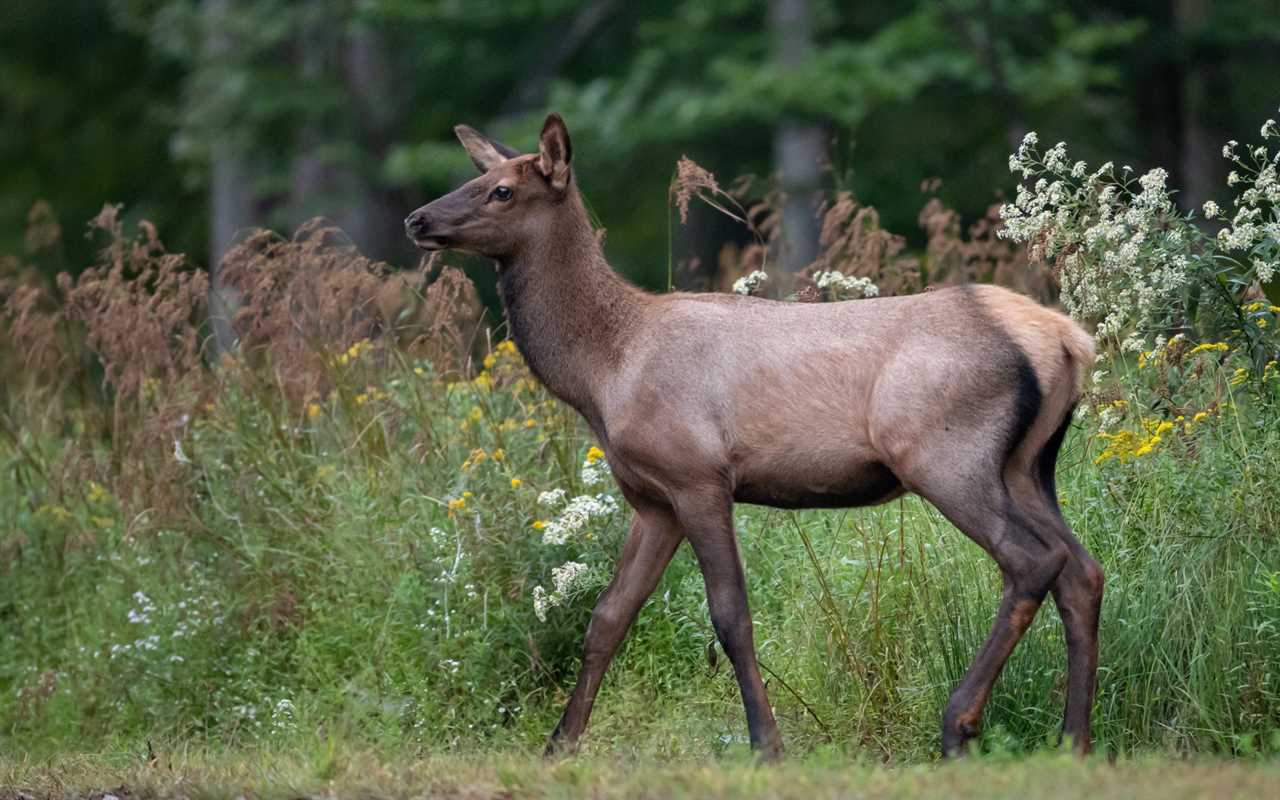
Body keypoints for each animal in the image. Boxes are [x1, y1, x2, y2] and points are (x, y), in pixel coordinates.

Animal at [407, 112, 1100, 752]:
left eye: (501, 190)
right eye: (474, 177)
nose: (416, 219)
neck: (603, 373)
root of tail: (1070, 339)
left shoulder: (698, 475)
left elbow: (730, 615)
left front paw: (766, 742)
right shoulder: (652, 499)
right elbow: (607, 616)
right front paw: (560, 744)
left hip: (943, 452)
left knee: (1033, 561)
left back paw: (959, 723)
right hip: (1027, 465)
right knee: (1082, 570)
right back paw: (1074, 739)